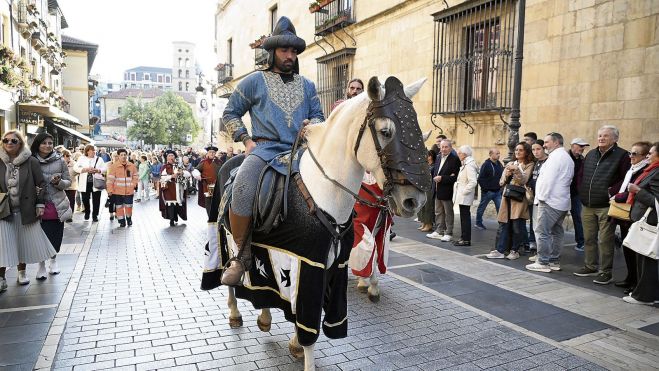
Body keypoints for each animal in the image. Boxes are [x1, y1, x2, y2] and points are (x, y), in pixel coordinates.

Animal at [222, 76, 428, 371]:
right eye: (386, 131)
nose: (415, 200)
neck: (324, 192)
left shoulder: (334, 266)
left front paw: (295, 344)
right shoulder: (310, 266)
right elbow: (309, 327)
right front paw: (304, 352)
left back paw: (264, 317)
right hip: (224, 238)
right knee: (230, 277)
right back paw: (234, 310)